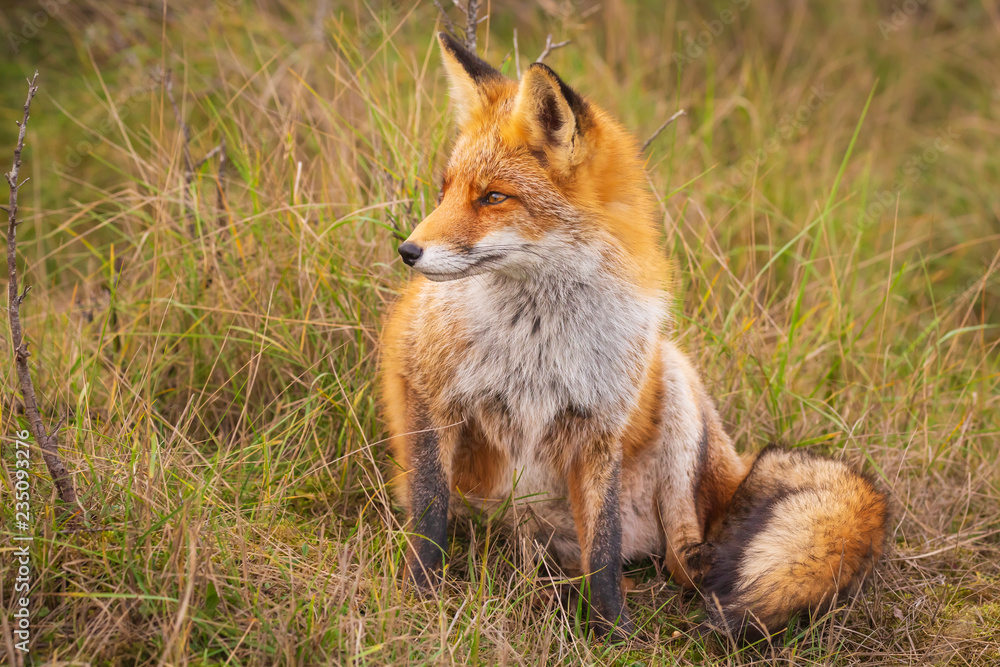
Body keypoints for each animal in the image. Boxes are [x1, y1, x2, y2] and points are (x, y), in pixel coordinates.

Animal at [379, 32, 889, 641]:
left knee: (680, 558)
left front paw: (614, 629)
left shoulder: (601, 428)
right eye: (446, 191)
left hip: (673, 377)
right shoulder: (432, 395)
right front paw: (418, 597)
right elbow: (430, 516)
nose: (407, 251)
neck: (537, 339)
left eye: (493, 198)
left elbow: (603, 549)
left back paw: (695, 579)